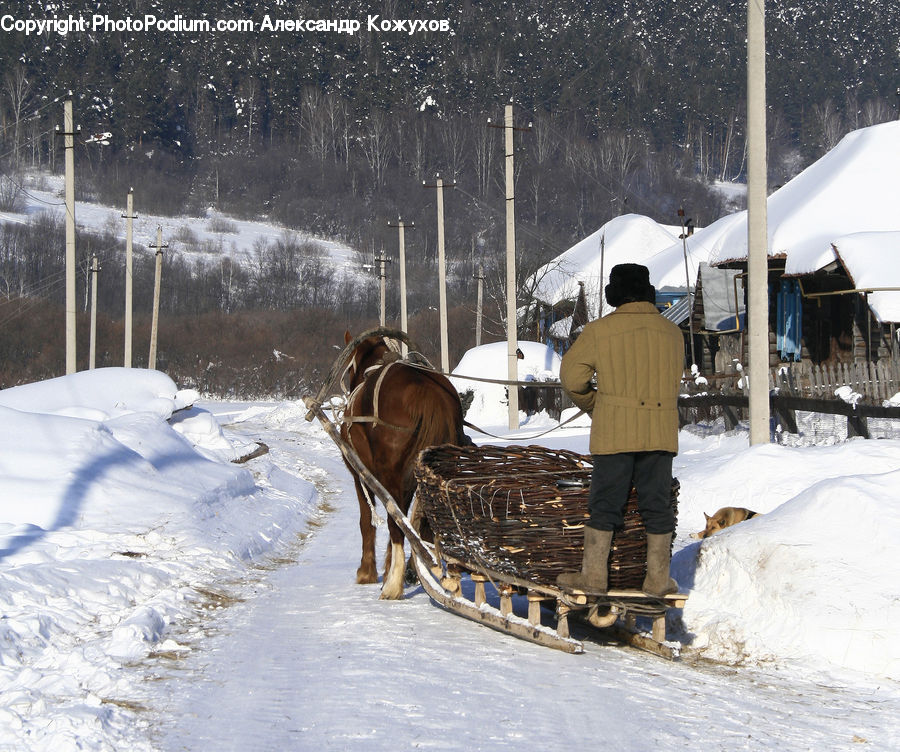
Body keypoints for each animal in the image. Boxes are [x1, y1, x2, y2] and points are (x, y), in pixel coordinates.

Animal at [338, 330, 470, 599]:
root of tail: (429, 392)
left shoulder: (361, 475)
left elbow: (368, 521)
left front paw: (367, 572)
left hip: (391, 475)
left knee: (396, 521)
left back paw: (393, 585)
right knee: (422, 523)